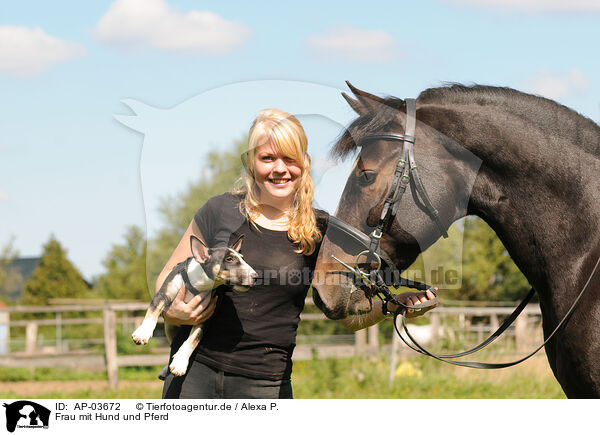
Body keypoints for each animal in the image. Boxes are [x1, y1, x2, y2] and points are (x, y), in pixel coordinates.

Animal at [132, 235, 256, 378]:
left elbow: (193, 339)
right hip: (169, 326)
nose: (256, 276)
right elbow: (153, 311)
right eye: (229, 259)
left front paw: (180, 363)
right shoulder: (163, 294)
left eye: (242, 258)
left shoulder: (205, 316)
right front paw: (143, 333)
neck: (199, 284)